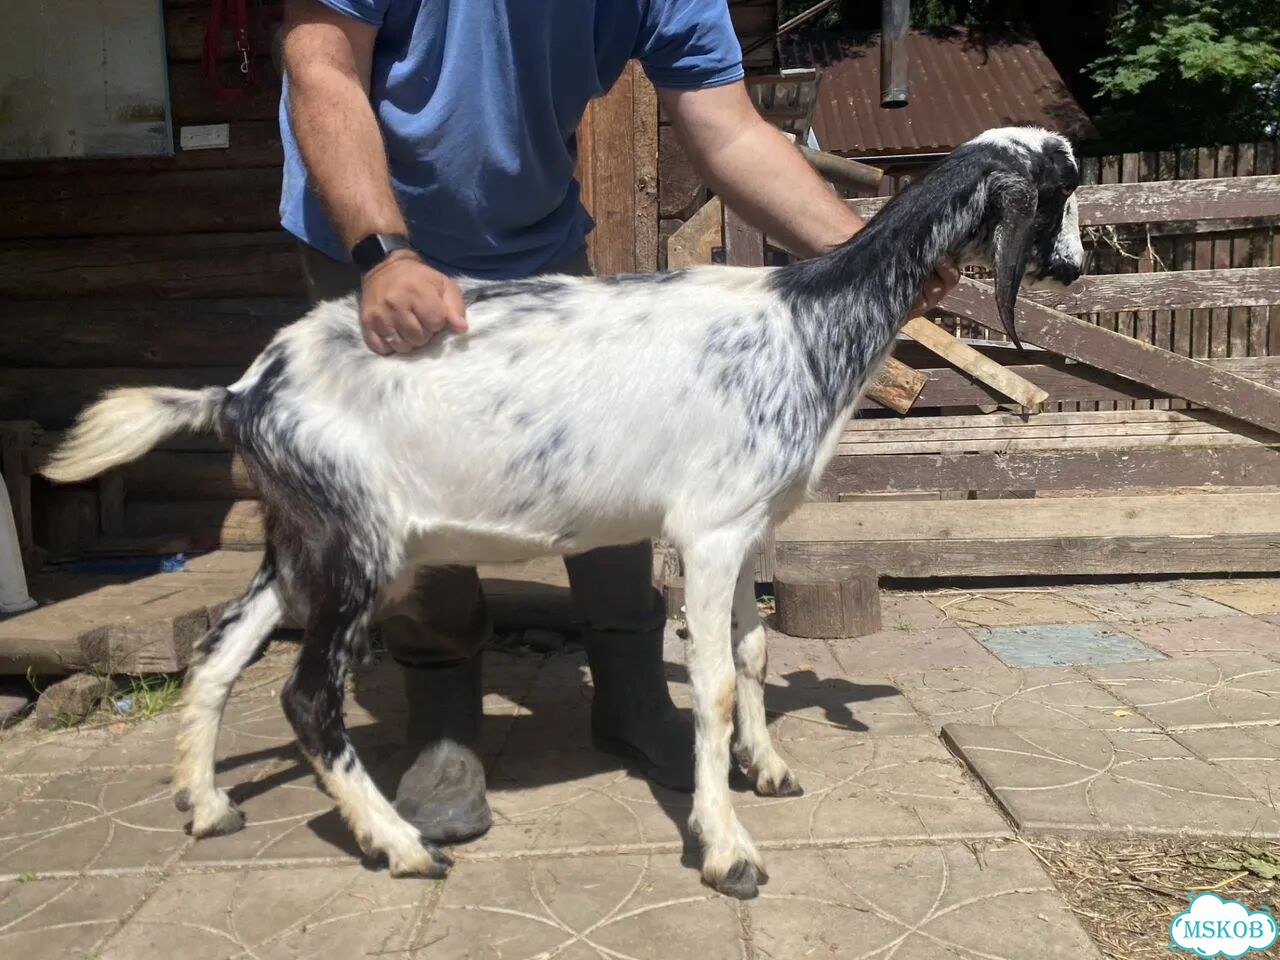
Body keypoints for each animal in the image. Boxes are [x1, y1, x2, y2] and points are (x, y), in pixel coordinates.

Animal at [43, 125, 1084, 900]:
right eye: (1062, 186)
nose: (1077, 267)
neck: (809, 318)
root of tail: (243, 391)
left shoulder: (748, 526)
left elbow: (752, 651)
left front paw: (769, 768)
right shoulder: (708, 531)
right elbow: (710, 683)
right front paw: (727, 850)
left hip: (302, 536)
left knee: (218, 650)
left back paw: (207, 804)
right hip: (359, 544)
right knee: (306, 695)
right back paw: (403, 846)